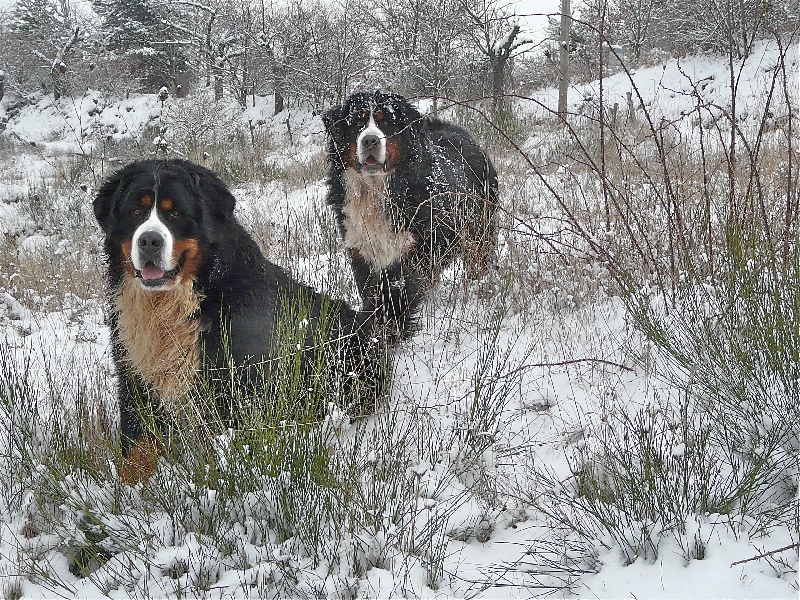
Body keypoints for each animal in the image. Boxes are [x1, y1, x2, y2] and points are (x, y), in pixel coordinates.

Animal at [93, 158, 418, 482]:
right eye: (136, 212)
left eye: (175, 213)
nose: (149, 240)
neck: (177, 301)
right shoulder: (135, 373)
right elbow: (136, 449)